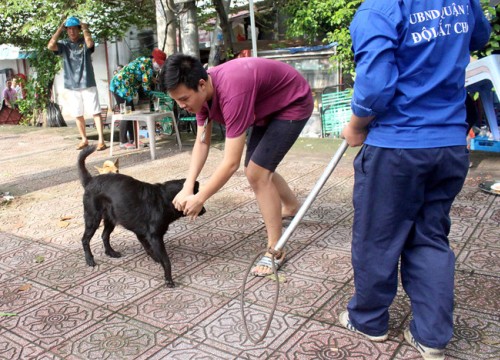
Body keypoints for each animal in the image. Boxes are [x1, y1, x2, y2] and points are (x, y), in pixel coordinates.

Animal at [78, 145, 203, 288]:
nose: (204, 210)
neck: (163, 199)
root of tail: (90, 181)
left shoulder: (141, 234)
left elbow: (149, 249)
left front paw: (156, 259)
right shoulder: (154, 237)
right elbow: (166, 260)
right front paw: (168, 279)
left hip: (111, 219)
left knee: (104, 235)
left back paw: (111, 252)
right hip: (92, 219)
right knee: (85, 239)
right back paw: (89, 259)